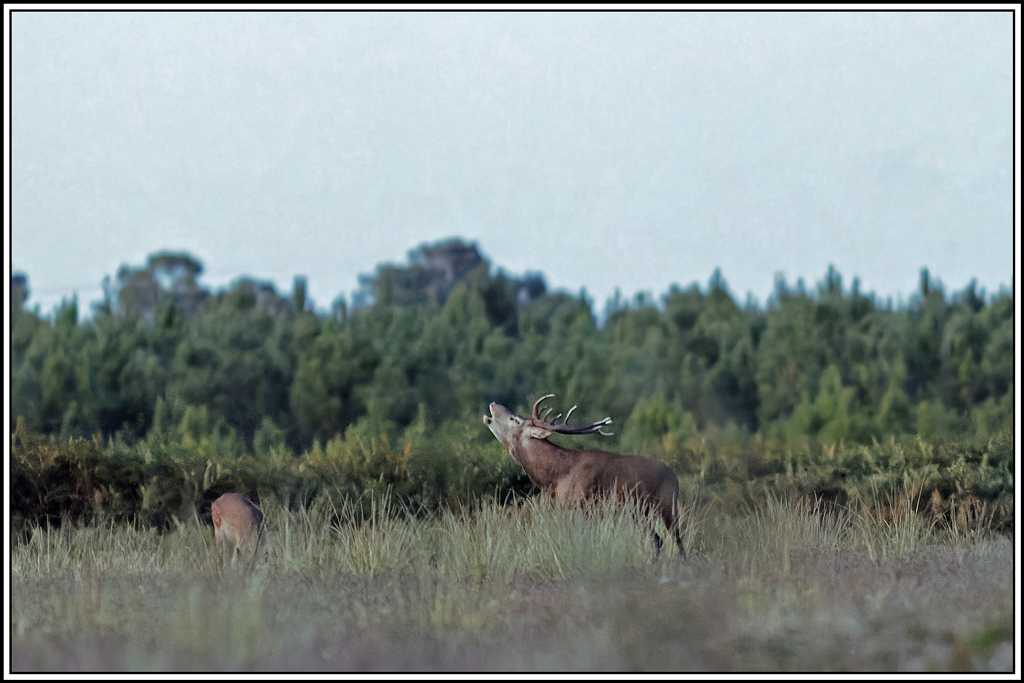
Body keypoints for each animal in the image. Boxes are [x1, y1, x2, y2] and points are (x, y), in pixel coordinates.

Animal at [483, 394, 686, 557]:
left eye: (515, 419)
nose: (493, 404)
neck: (556, 476)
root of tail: (674, 475)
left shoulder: (584, 507)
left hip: (668, 504)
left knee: (677, 540)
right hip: (638, 513)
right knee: (657, 540)